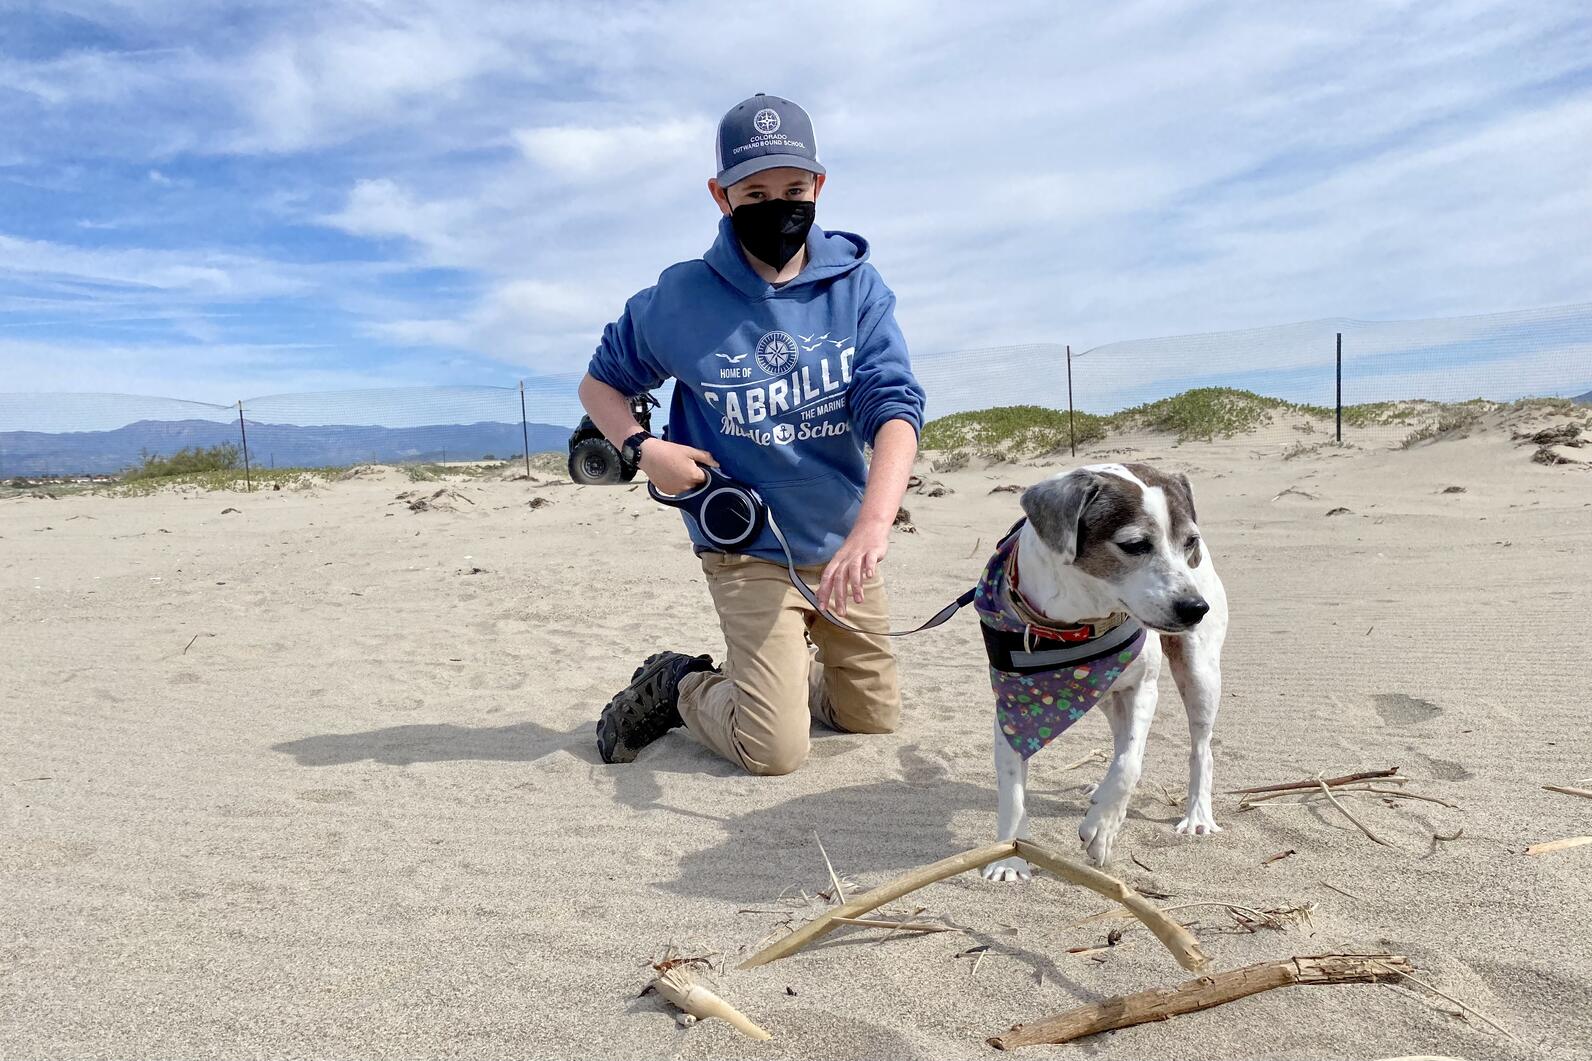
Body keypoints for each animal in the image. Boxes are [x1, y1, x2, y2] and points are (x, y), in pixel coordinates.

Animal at [974, 461, 1222, 873]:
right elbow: (1011, 788)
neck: (1078, 620)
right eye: (1135, 545)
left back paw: (1196, 815)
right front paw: (1009, 857)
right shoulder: (1011, 706)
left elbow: (1129, 767)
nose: (1195, 608)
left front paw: (1101, 829)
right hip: (1108, 694)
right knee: (1121, 736)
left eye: (1190, 542)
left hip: (1199, 672)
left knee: (1200, 747)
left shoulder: (1145, 687)